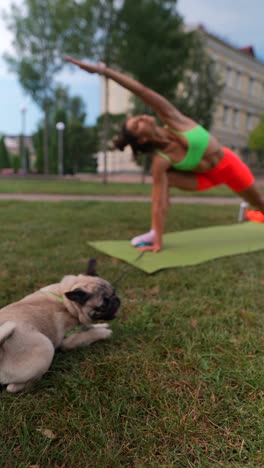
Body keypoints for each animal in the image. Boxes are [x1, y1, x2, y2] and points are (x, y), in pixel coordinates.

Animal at [0, 260, 120, 392]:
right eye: (103, 305)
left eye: (114, 291)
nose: (117, 301)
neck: (66, 302)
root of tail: (1, 351)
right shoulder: (68, 341)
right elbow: (89, 334)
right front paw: (105, 332)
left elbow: (88, 327)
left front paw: (102, 325)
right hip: (46, 346)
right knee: (12, 387)